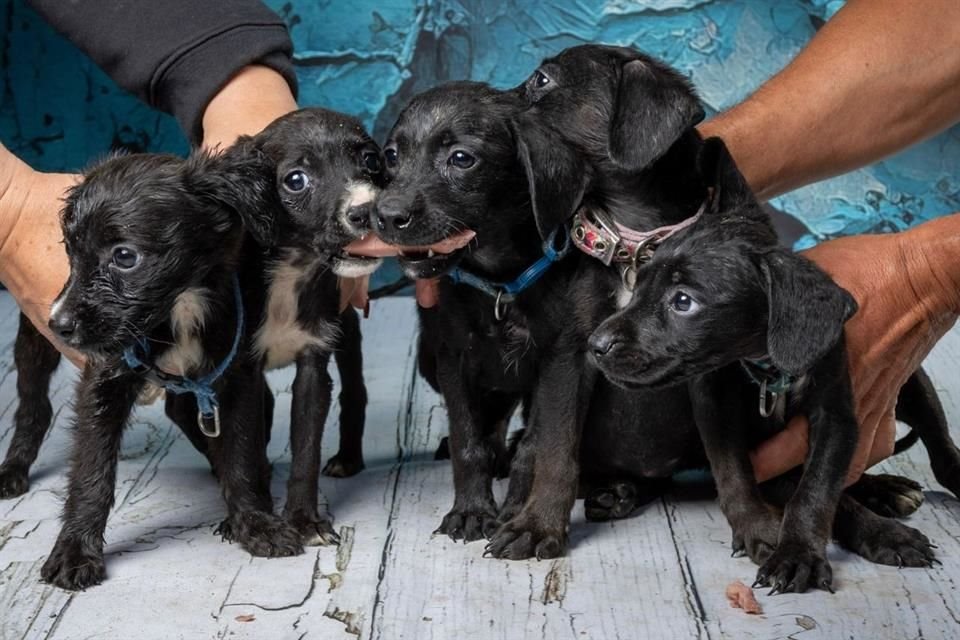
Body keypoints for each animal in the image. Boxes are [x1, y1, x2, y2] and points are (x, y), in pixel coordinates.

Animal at [40, 106, 386, 592]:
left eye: (371, 161)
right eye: (295, 180)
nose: (59, 325)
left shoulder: (297, 363)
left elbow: (298, 447)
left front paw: (293, 520)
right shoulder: (119, 374)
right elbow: (93, 469)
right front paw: (74, 551)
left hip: (346, 329)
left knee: (354, 390)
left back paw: (347, 458)